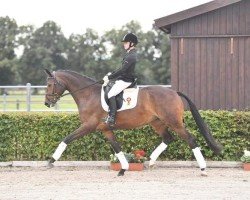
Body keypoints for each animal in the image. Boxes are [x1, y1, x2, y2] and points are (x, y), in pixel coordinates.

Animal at [44, 69, 222, 176]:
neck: (88, 94)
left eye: (50, 84)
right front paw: (123, 168)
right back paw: (150, 161)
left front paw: (51, 161)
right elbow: (117, 148)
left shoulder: (88, 126)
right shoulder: (105, 129)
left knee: (190, 139)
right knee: (167, 138)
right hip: (157, 122)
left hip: (174, 123)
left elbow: (66, 139)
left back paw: (203, 169)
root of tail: (174, 92)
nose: (47, 103)